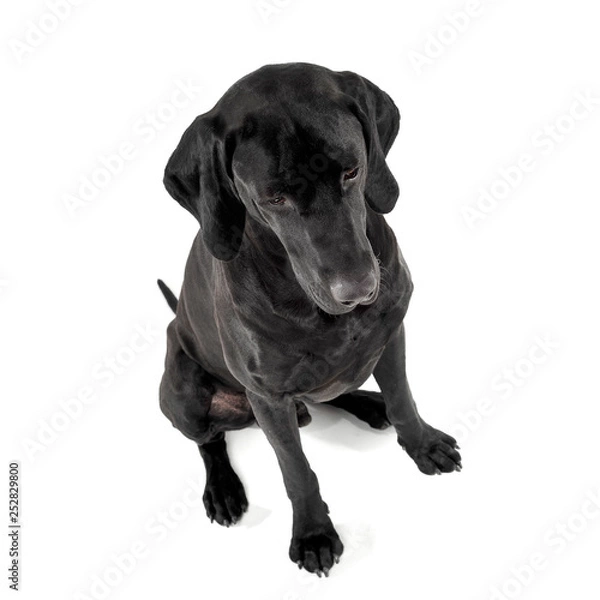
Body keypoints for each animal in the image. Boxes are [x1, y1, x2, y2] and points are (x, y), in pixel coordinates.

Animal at [157, 62, 462, 576]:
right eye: (274, 199)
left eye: (353, 171)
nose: (357, 291)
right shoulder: (268, 397)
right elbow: (295, 470)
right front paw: (314, 533)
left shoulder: (392, 333)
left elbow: (403, 398)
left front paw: (421, 443)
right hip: (183, 392)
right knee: (209, 442)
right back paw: (223, 488)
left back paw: (370, 403)